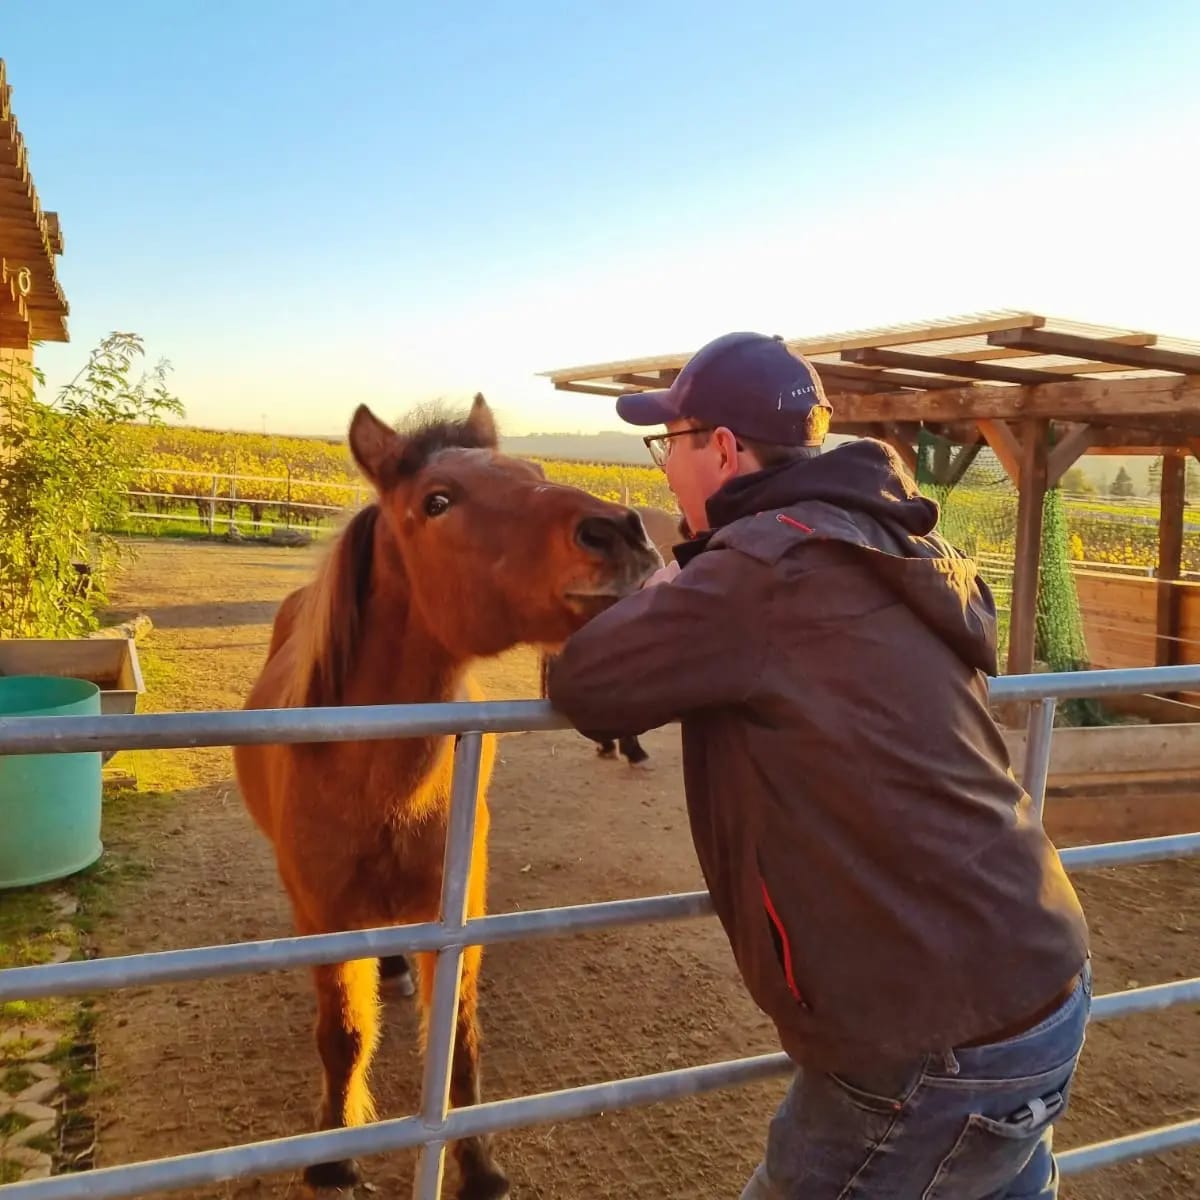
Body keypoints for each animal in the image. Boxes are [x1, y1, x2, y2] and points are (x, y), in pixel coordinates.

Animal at [232, 398, 657, 1195]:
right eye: (437, 501)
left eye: (534, 469)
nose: (621, 530)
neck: (375, 787)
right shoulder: (325, 919)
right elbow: (344, 1036)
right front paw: (333, 1157)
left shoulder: (456, 916)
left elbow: (457, 1040)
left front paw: (479, 1165)